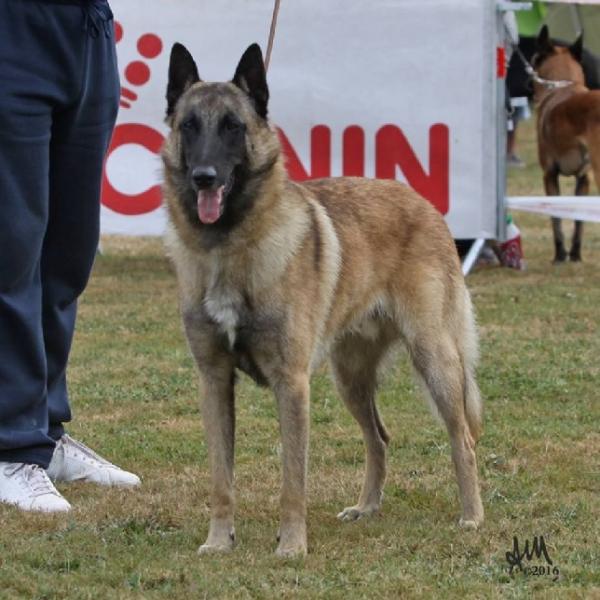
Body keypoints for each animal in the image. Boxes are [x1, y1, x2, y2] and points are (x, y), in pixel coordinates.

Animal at [162, 42, 486, 556]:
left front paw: (291, 546)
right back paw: (367, 507)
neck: (230, 248)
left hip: (434, 358)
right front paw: (219, 541)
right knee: (379, 439)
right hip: (349, 377)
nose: (204, 178)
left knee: (462, 439)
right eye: (189, 125)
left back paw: (472, 515)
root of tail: (423, 201)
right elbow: (221, 479)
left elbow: (293, 480)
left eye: (233, 126)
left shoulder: (292, 385)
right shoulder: (213, 382)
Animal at [536, 25, 600, 262]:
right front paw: (575, 255)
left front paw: (560, 255)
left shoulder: (549, 175)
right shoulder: (584, 178)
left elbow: (555, 218)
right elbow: (579, 220)